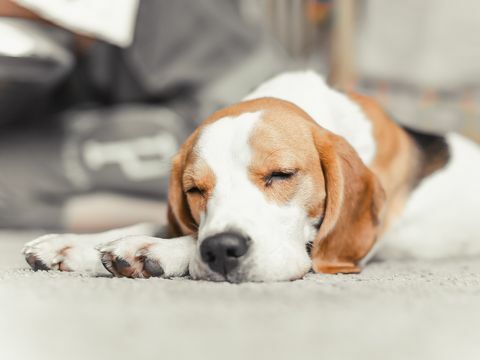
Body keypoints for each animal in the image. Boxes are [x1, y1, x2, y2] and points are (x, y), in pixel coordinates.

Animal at [21, 71, 480, 282]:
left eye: (281, 174)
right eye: (194, 190)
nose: (223, 250)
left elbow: (181, 238)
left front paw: (156, 250)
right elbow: (152, 221)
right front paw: (72, 245)